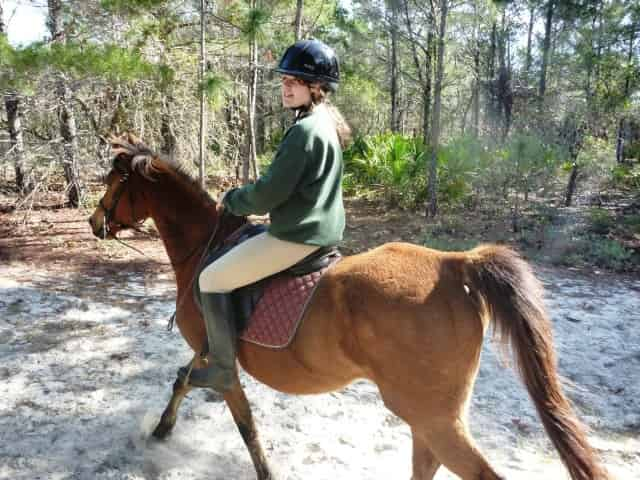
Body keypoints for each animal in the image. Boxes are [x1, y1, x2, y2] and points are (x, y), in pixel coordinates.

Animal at [87, 135, 608, 480]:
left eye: (114, 181)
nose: (94, 223)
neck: (206, 246)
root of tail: (454, 264)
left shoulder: (222, 366)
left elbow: (244, 424)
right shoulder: (206, 348)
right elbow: (181, 381)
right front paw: (161, 431)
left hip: (434, 417)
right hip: (428, 416)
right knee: (426, 463)